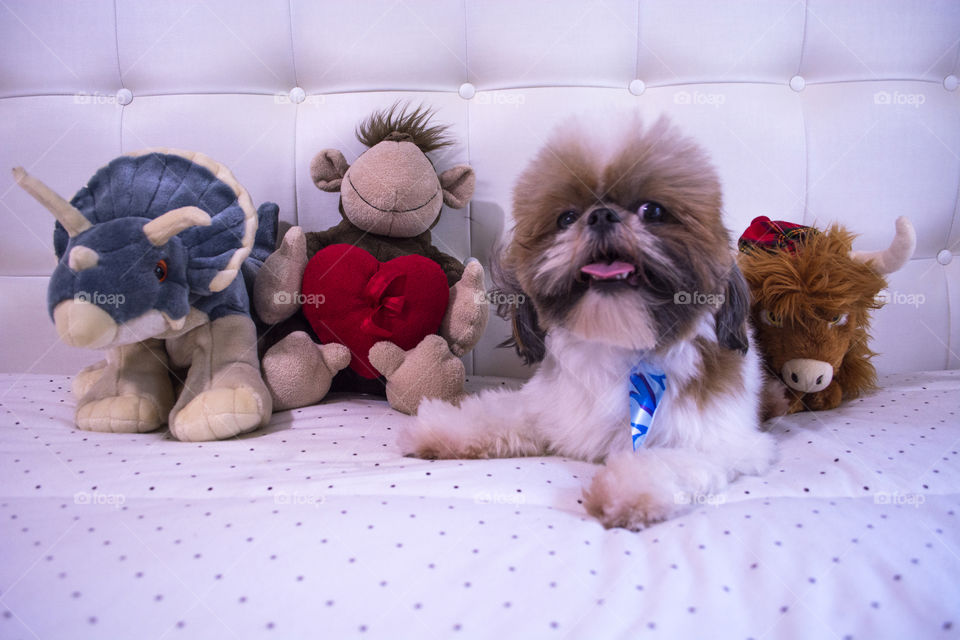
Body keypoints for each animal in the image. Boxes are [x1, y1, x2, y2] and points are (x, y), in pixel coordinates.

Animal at [400, 115, 780, 528]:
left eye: (653, 211)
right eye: (566, 218)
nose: (601, 215)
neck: (616, 345)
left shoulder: (721, 442)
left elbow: (670, 458)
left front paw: (630, 487)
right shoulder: (547, 409)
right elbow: (493, 413)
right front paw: (441, 427)